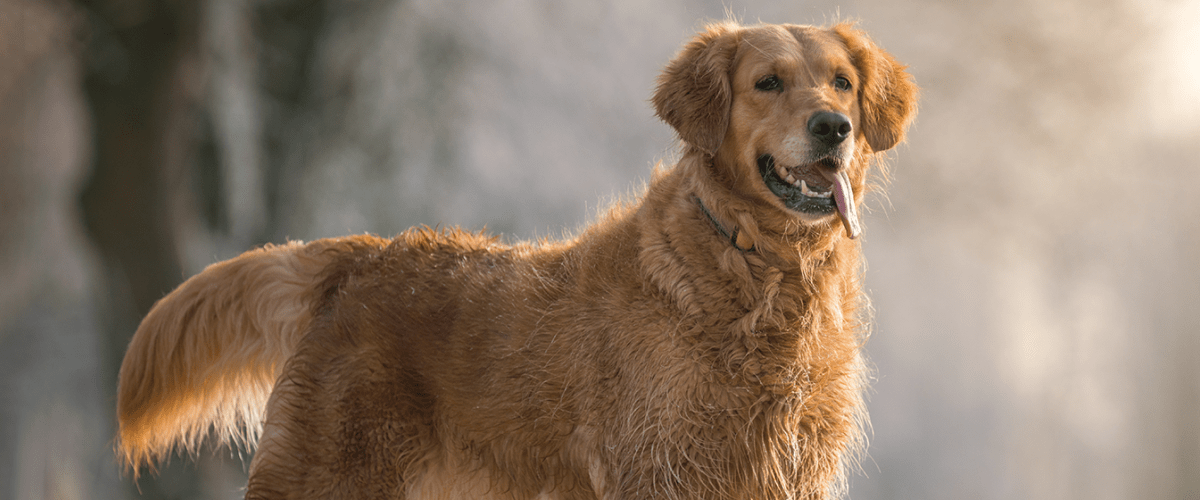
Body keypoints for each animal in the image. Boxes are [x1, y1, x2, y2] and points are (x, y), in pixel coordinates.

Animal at [117, 20, 912, 498]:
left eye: (842, 82)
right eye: (767, 83)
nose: (833, 126)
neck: (762, 267)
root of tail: (361, 257)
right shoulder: (660, 472)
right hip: (327, 475)